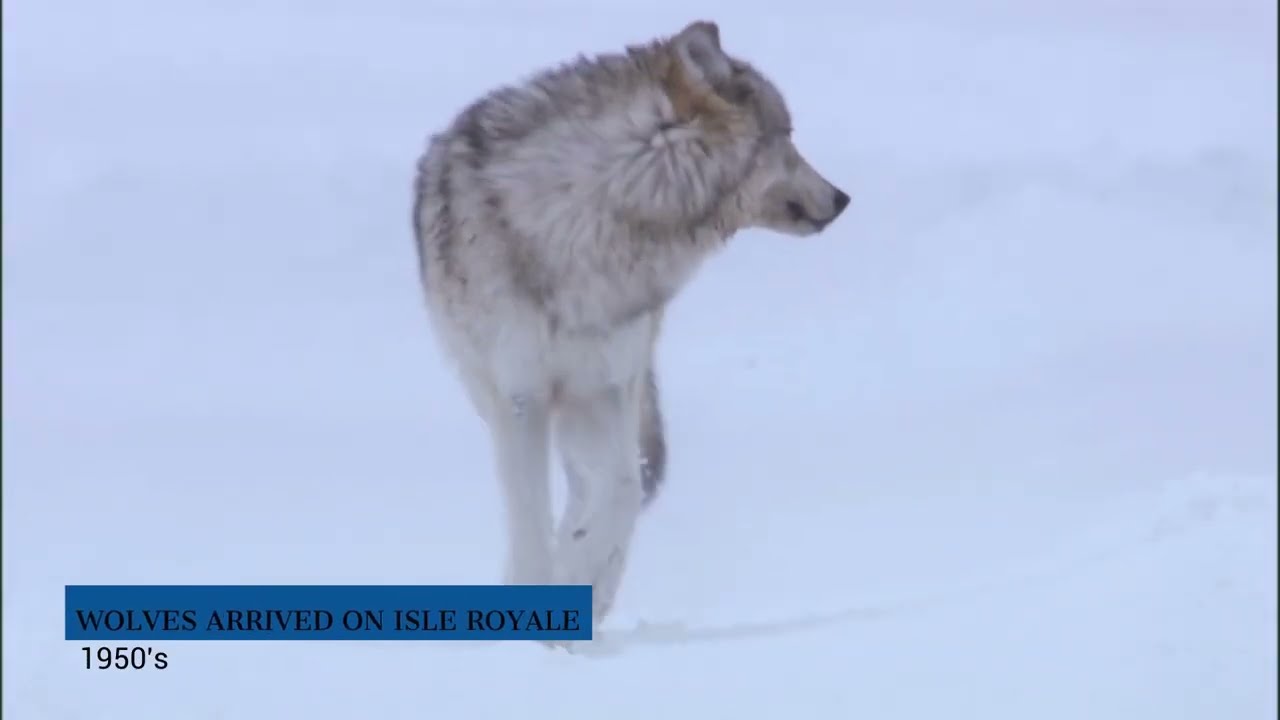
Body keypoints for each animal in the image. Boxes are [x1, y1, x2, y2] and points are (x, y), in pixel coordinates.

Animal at [411, 20, 850, 631]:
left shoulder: (606, 384)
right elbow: (530, 519)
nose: (842, 198)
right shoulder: (522, 396)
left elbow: (621, 492)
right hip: (497, 393)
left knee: (596, 485)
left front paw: (584, 578)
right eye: (787, 135)